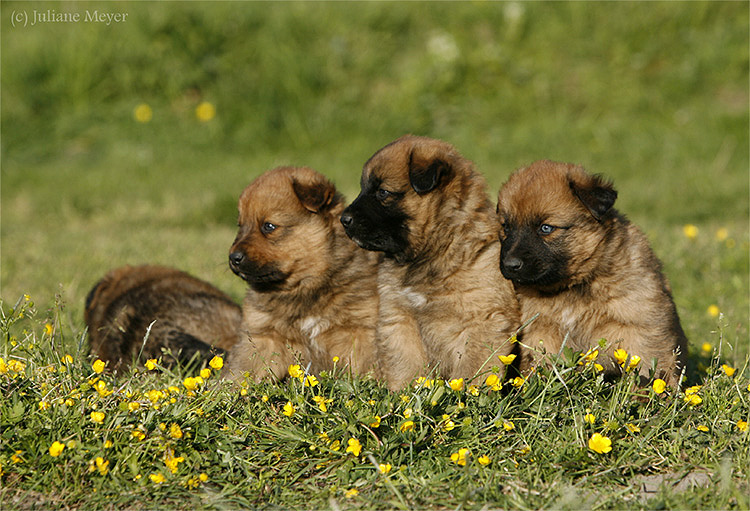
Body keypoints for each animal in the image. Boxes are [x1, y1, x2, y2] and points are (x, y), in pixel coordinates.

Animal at [226, 166, 382, 382]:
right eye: (241, 226)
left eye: (269, 226)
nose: (233, 258)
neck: (306, 285)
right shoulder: (262, 334)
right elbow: (243, 370)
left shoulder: (360, 329)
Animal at [342, 136, 524, 392]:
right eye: (363, 188)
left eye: (383, 192)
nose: (343, 219)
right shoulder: (400, 319)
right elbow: (405, 364)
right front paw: (402, 395)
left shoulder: (484, 320)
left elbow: (474, 369)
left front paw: (469, 396)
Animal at [496, 159, 692, 384]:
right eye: (506, 227)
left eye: (546, 228)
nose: (510, 265)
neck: (575, 285)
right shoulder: (541, 330)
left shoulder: (640, 325)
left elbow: (649, 367)